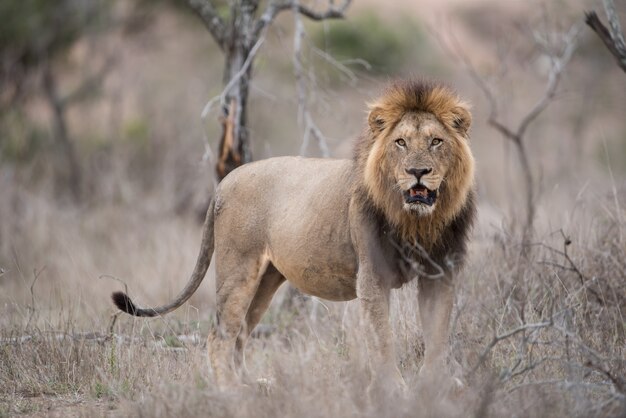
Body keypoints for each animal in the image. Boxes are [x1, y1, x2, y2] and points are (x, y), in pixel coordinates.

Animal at [112, 78, 472, 392]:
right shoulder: (373, 276)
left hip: (266, 279)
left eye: (436, 141)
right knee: (220, 335)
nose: (418, 172)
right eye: (400, 143)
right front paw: (394, 388)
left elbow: (437, 333)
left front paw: (436, 384)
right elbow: (383, 337)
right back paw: (231, 391)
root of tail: (224, 181)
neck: (417, 222)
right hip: (237, 270)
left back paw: (253, 384)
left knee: (241, 333)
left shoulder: (441, 273)